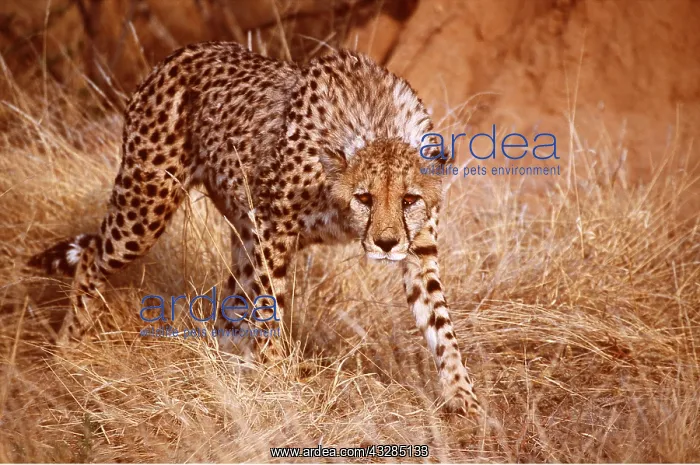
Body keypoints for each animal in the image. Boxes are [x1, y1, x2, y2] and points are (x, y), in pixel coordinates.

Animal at [28, 41, 483, 417]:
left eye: (409, 200)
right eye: (364, 198)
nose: (385, 244)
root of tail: (176, 55)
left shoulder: (419, 249)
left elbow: (441, 324)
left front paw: (464, 397)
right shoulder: (273, 233)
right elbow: (269, 313)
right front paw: (281, 382)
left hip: (236, 231)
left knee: (229, 309)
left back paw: (228, 368)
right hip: (146, 203)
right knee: (92, 255)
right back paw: (68, 350)